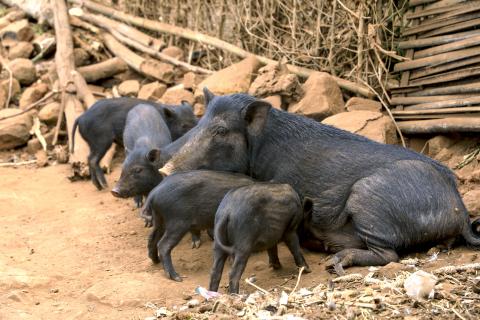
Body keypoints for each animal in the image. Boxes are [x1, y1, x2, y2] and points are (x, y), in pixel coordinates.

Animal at [161, 89, 480, 272]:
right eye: (200, 123)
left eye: (220, 131)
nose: (165, 169)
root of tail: (461, 212)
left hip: (369, 197)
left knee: (389, 254)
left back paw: (334, 261)